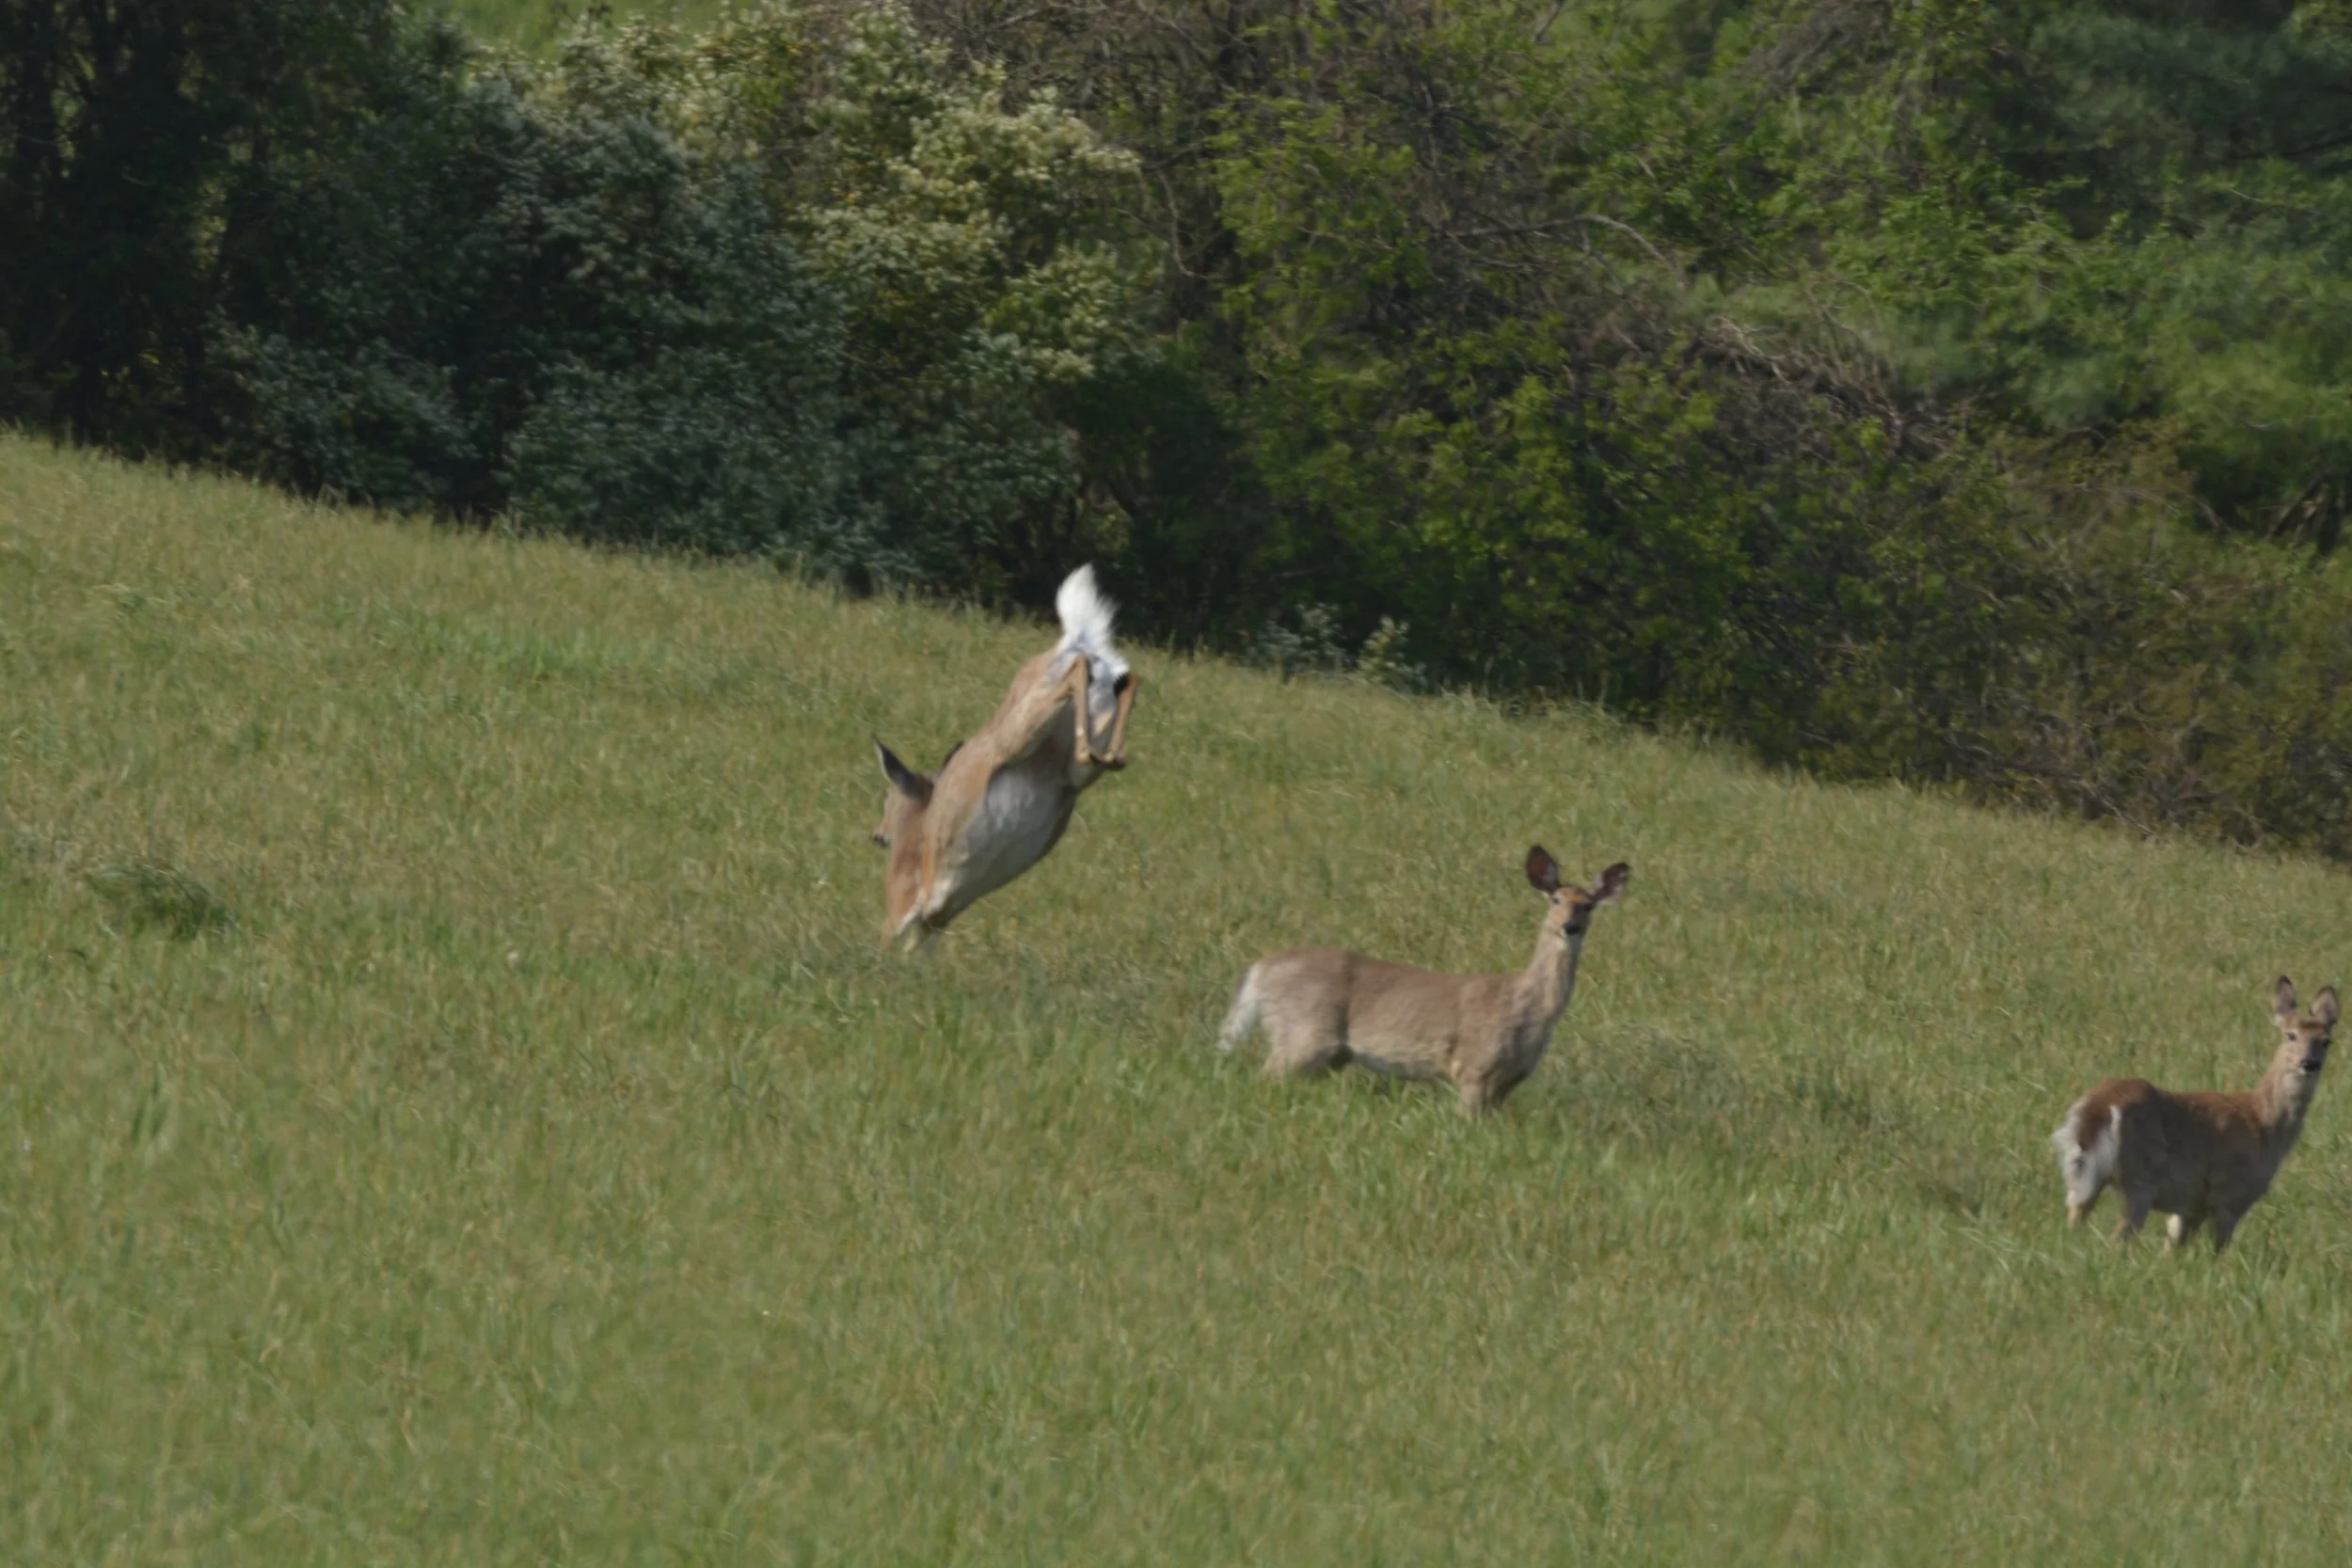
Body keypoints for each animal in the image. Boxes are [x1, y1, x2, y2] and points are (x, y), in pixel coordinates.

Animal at [871, 565, 1136, 949]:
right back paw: (1113, 753)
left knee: (1078, 672)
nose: (877, 835)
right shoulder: (936, 918)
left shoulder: (906, 908)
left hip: (1023, 728)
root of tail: (1077, 639)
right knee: (1126, 683)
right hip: (1078, 758)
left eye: (888, 798)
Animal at [1216, 849, 1629, 1116]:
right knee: (1265, 1076)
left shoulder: (1509, 1080)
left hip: (1326, 1052)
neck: (1528, 1009)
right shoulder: (1473, 1066)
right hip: (1302, 1033)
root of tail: (1259, 970)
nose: (1570, 926)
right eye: (1555, 899)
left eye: (1588, 904)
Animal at [2051, 977, 2338, 1254]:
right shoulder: (2230, 1194)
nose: (2309, 1063)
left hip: (2086, 1175)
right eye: (2291, 1035)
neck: (2263, 1122)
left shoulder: (2190, 1206)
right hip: (2141, 1178)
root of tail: (2101, 1105)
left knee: (2075, 1220)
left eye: (2326, 1041)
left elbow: (2171, 1250)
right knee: (2118, 1237)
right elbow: (2217, 1252)